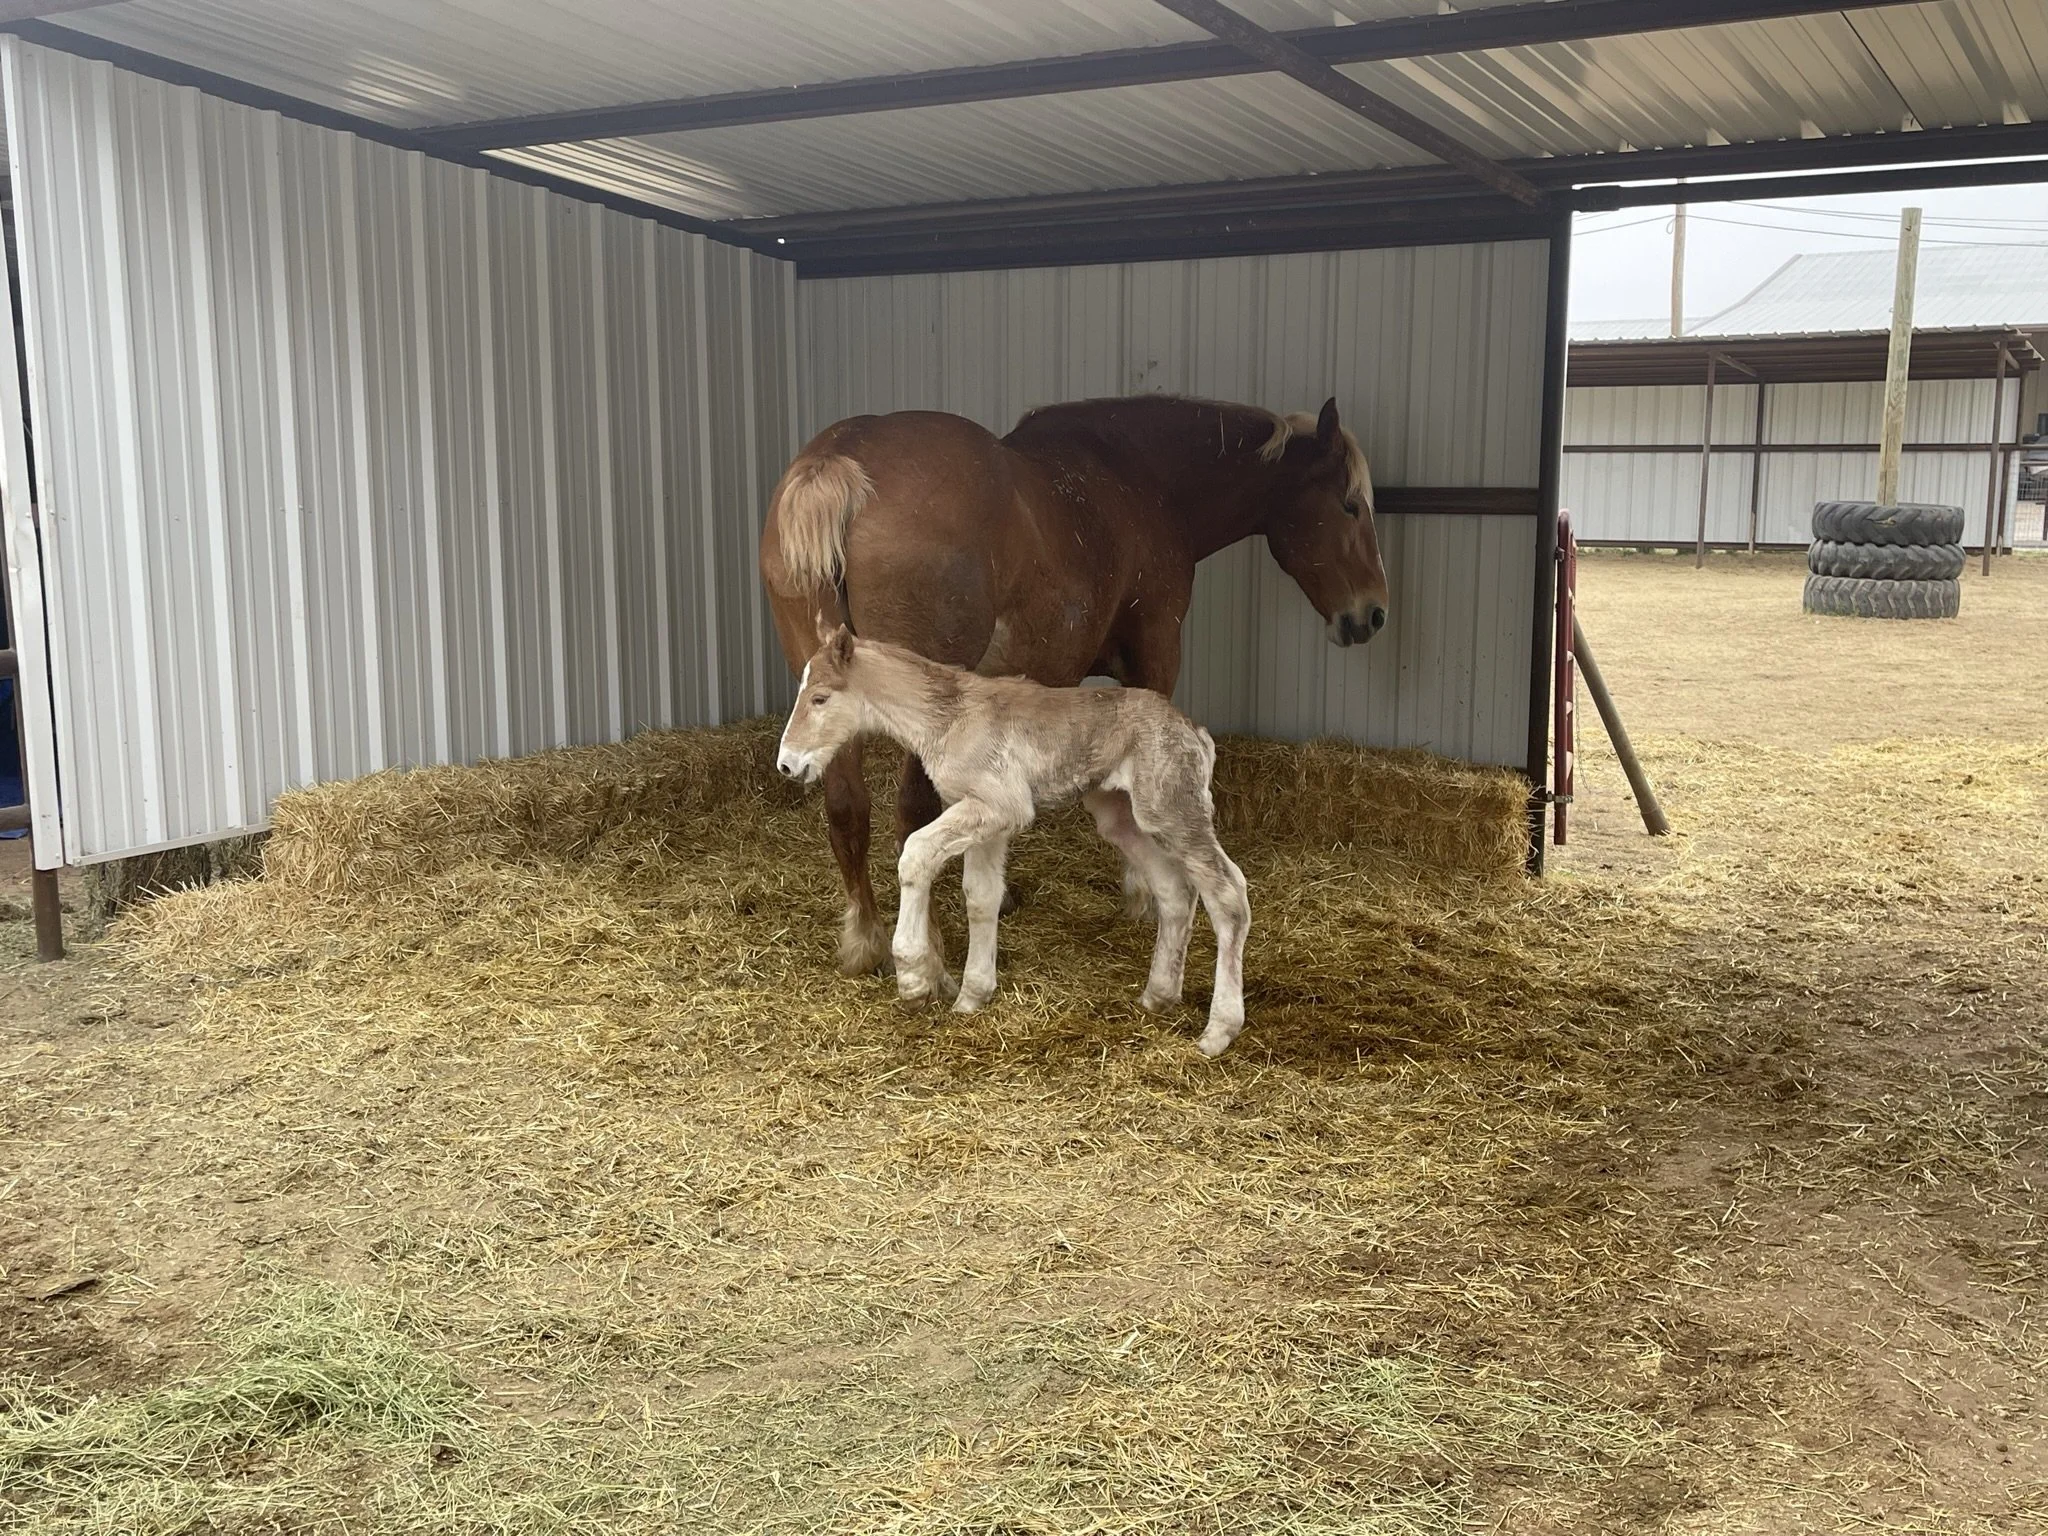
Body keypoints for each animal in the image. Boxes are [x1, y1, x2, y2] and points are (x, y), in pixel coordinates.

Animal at [758, 392, 1385, 977]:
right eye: (1350, 505)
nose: (1373, 614)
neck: (1140, 476)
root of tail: (837, 462)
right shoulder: (1154, 660)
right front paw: (1143, 891)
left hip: (830, 706)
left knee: (847, 809)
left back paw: (864, 941)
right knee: (910, 814)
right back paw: (925, 953)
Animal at [778, 624, 1254, 1057]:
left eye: (820, 698)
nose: (787, 764)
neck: (950, 719)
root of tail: (1195, 731)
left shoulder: (1001, 805)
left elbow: (915, 853)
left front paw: (913, 980)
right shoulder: (985, 819)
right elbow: (981, 896)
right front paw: (972, 995)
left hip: (1172, 812)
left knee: (1228, 895)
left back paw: (1218, 1032)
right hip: (1123, 818)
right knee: (1174, 892)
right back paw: (1158, 996)